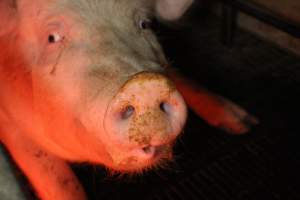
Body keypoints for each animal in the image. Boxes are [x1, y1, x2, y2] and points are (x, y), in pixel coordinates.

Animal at [0, 0, 258, 199]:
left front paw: (247, 125)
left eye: (145, 24)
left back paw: (243, 123)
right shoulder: (14, 130)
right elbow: (62, 182)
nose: (145, 85)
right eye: (52, 37)